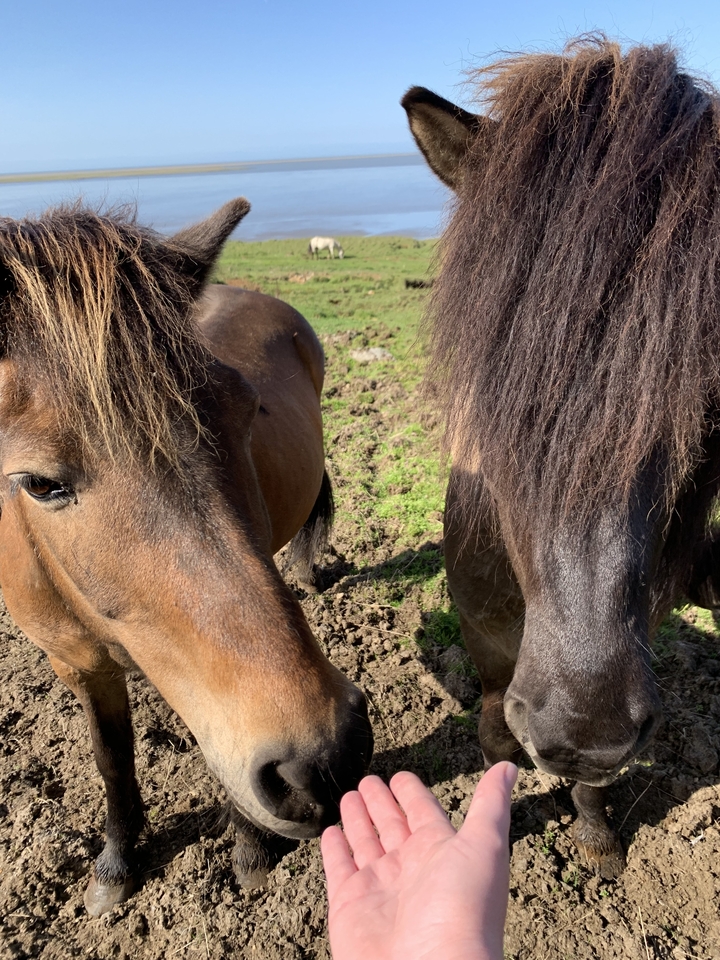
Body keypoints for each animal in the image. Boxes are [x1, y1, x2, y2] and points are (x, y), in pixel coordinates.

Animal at [0, 198, 372, 915]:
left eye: (246, 410)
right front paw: (116, 864)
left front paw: (250, 851)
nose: (325, 761)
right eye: (37, 483)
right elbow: (111, 756)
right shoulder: (78, 664)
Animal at [403, 38, 720, 878]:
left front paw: (594, 831)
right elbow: (493, 739)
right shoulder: (490, 661)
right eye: (491, 362)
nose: (584, 729)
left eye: (705, 388)